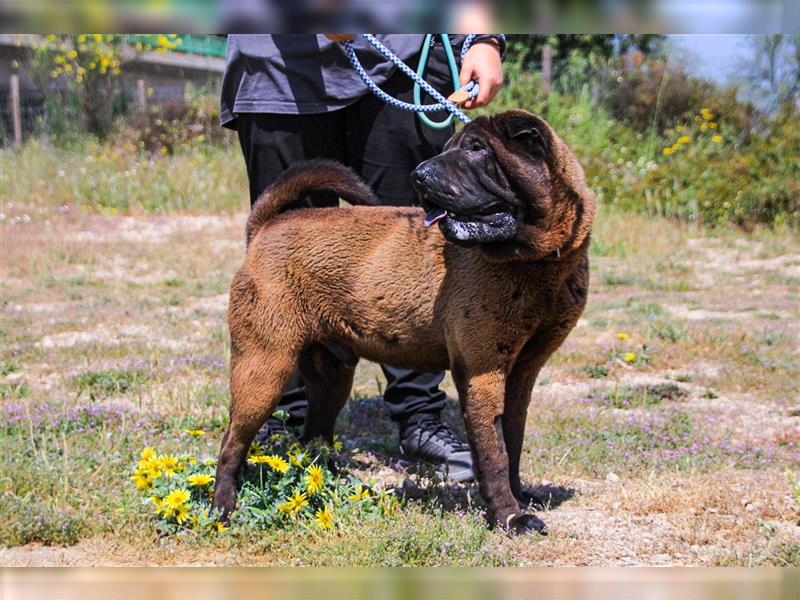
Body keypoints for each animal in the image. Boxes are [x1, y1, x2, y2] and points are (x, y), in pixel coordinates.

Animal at [212, 109, 592, 536]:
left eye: (477, 149)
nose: (419, 174)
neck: (536, 264)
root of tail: (263, 227)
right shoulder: (483, 372)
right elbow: (494, 454)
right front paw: (509, 516)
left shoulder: (521, 375)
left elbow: (511, 442)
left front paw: (519, 496)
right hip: (264, 369)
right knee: (232, 444)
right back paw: (222, 509)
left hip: (331, 377)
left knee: (315, 437)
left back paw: (332, 486)